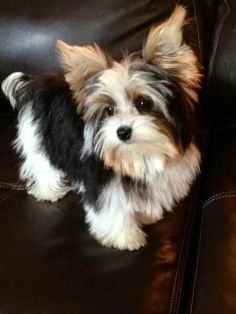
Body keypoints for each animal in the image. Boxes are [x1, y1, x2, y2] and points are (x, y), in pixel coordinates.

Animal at [1, 5, 201, 250]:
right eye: (109, 110)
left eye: (143, 103)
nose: (122, 131)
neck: (139, 153)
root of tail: (36, 83)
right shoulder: (103, 180)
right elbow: (113, 209)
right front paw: (126, 238)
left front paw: (145, 215)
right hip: (39, 135)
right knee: (43, 162)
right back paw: (49, 191)